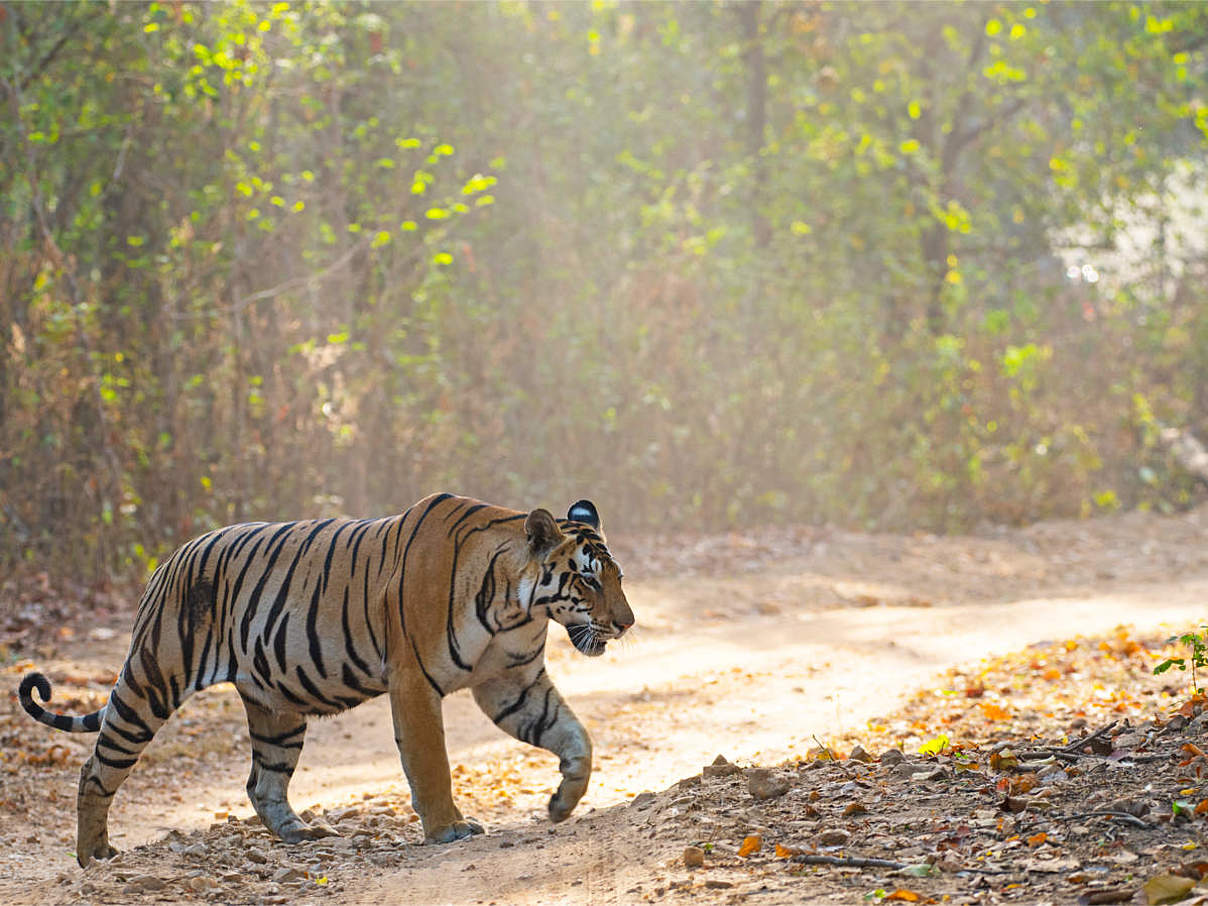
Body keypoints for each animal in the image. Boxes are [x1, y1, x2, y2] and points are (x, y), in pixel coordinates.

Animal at [16, 492, 632, 869]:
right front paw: (448, 830)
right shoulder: (414, 681)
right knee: (96, 769)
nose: (627, 623)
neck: (517, 605)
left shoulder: (511, 683)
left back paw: (303, 834)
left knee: (262, 783)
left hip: (277, 709)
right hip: (151, 682)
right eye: (588, 580)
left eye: (618, 577)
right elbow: (431, 761)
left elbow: (574, 735)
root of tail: (168, 559)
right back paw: (94, 855)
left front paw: (563, 802)